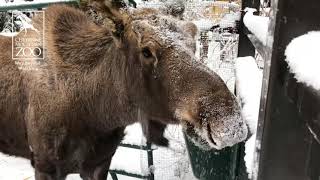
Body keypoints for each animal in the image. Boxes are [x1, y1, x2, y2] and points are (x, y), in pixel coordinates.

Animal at [0, 1, 248, 180]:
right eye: (146, 51)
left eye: (193, 43)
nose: (228, 122)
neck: (97, 114)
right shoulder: (45, 165)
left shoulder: (101, 161)